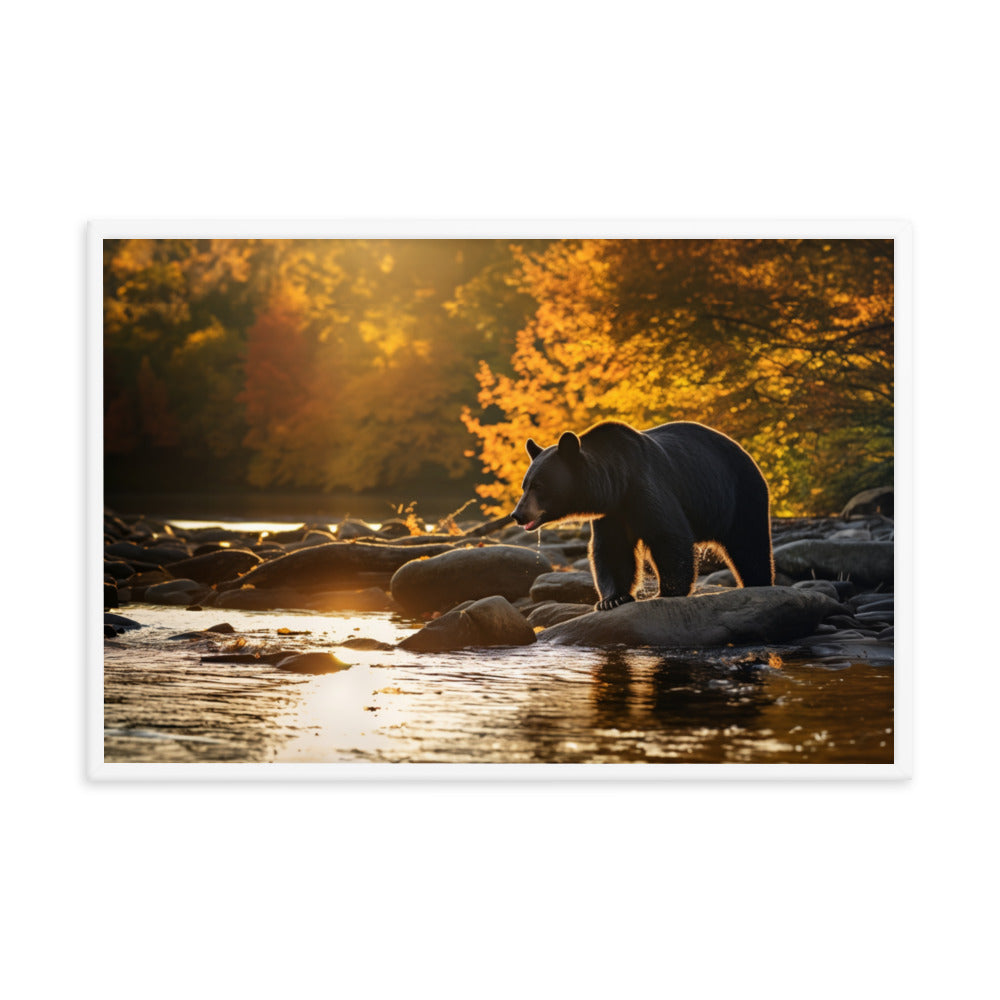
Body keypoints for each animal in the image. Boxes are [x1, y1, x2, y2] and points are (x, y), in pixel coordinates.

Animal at [510, 420, 774, 610]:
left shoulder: (646, 487)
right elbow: (611, 549)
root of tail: (746, 453)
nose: (517, 514)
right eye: (525, 485)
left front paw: (666, 591)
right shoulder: (612, 513)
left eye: (538, 485)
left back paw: (758, 582)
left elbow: (669, 535)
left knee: (750, 544)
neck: (618, 482)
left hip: (741, 493)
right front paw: (611, 599)